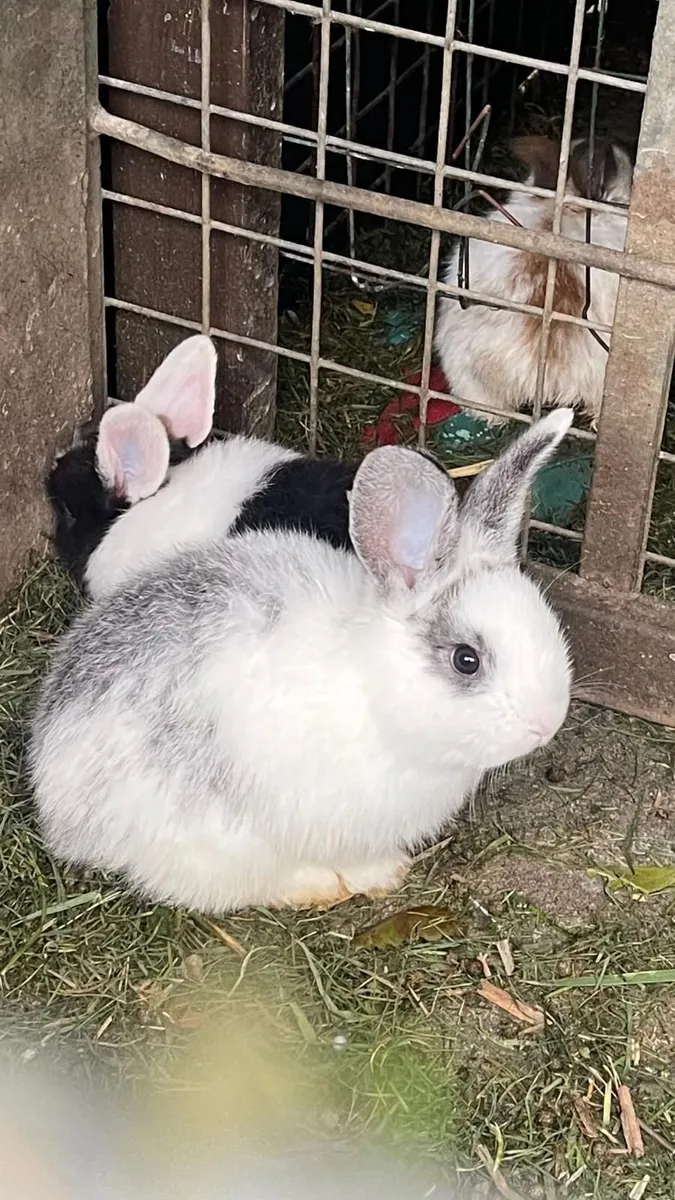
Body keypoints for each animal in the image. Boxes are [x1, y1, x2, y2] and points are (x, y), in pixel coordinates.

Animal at [29, 407, 573, 915]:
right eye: (466, 660)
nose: (546, 725)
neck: (375, 694)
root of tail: (56, 799)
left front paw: (386, 873)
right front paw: (374, 876)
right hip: (209, 840)